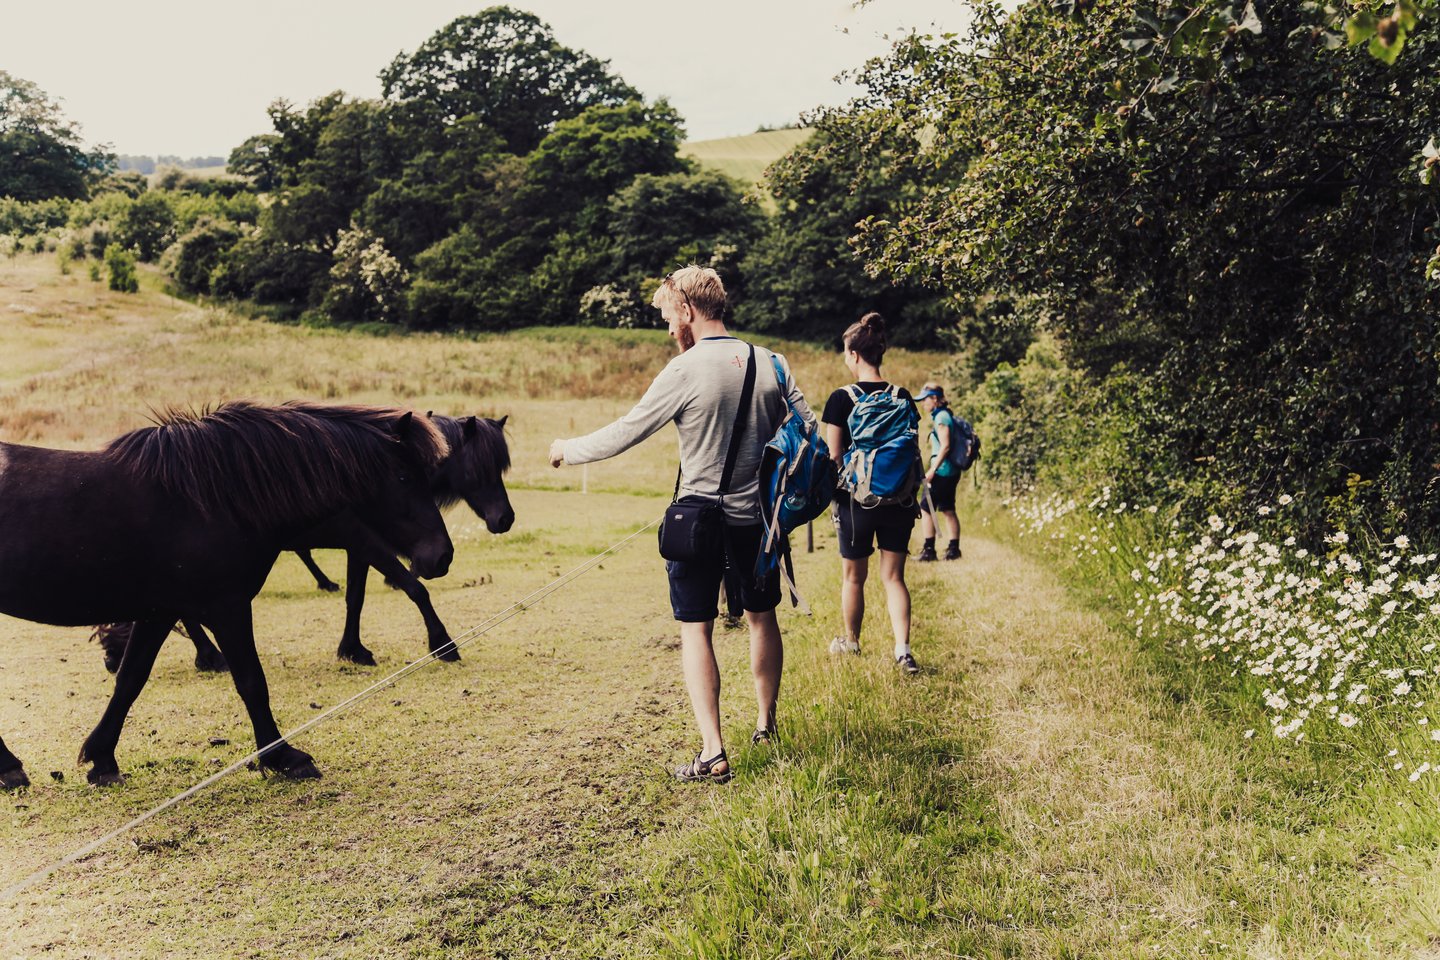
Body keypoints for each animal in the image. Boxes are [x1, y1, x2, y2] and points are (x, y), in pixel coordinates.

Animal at [0, 401, 453, 789]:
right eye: (404, 478)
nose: (442, 555)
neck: (216, 498)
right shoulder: (226, 607)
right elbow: (252, 681)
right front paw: (283, 756)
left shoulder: (159, 611)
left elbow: (130, 680)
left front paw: (102, 759)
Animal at [99, 414, 514, 671]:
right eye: (481, 468)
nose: (505, 519)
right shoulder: (365, 541)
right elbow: (414, 588)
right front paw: (442, 643)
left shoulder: (359, 546)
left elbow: (356, 596)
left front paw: (352, 649)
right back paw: (210, 656)